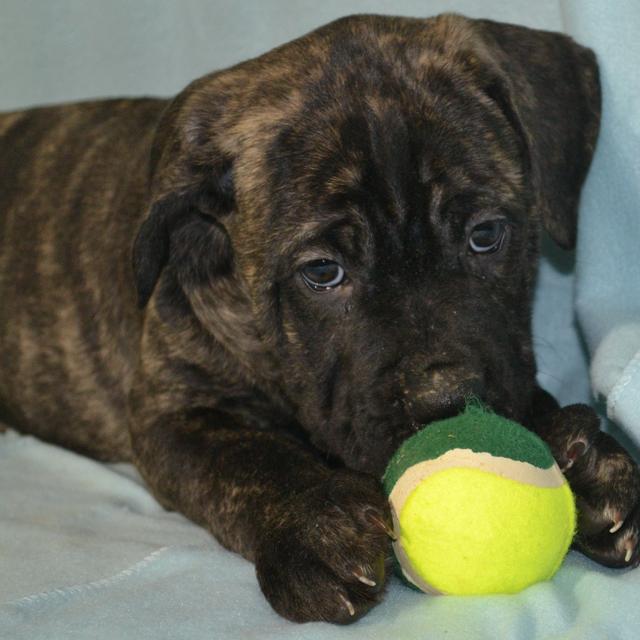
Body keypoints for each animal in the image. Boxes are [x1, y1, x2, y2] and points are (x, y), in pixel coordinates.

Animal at [1, 13, 640, 624]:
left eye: (485, 234)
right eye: (323, 271)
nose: (446, 399)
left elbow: (524, 389)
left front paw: (585, 458)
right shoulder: (170, 413)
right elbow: (248, 456)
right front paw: (316, 524)